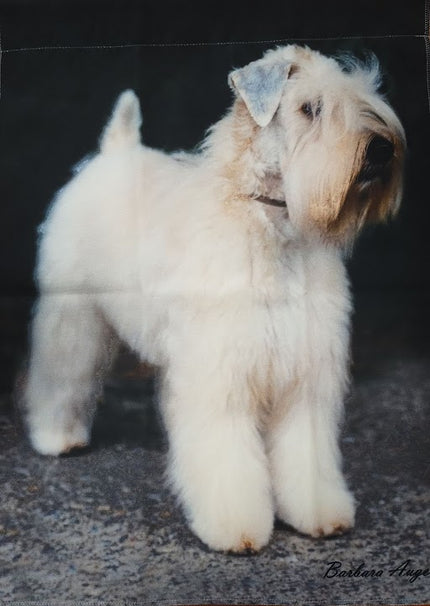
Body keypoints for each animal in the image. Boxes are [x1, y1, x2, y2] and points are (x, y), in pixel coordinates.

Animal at [24, 45, 406, 552]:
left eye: (365, 94)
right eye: (310, 108)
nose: (382, 149)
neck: (271, 229)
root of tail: (115, 153)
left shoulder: (302, 373)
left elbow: (306, 453)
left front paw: (318, 512)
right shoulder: (220, 372)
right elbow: (226, 456)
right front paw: (236, 527)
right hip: (74, 316)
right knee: (61, 376)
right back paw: (56, 435)